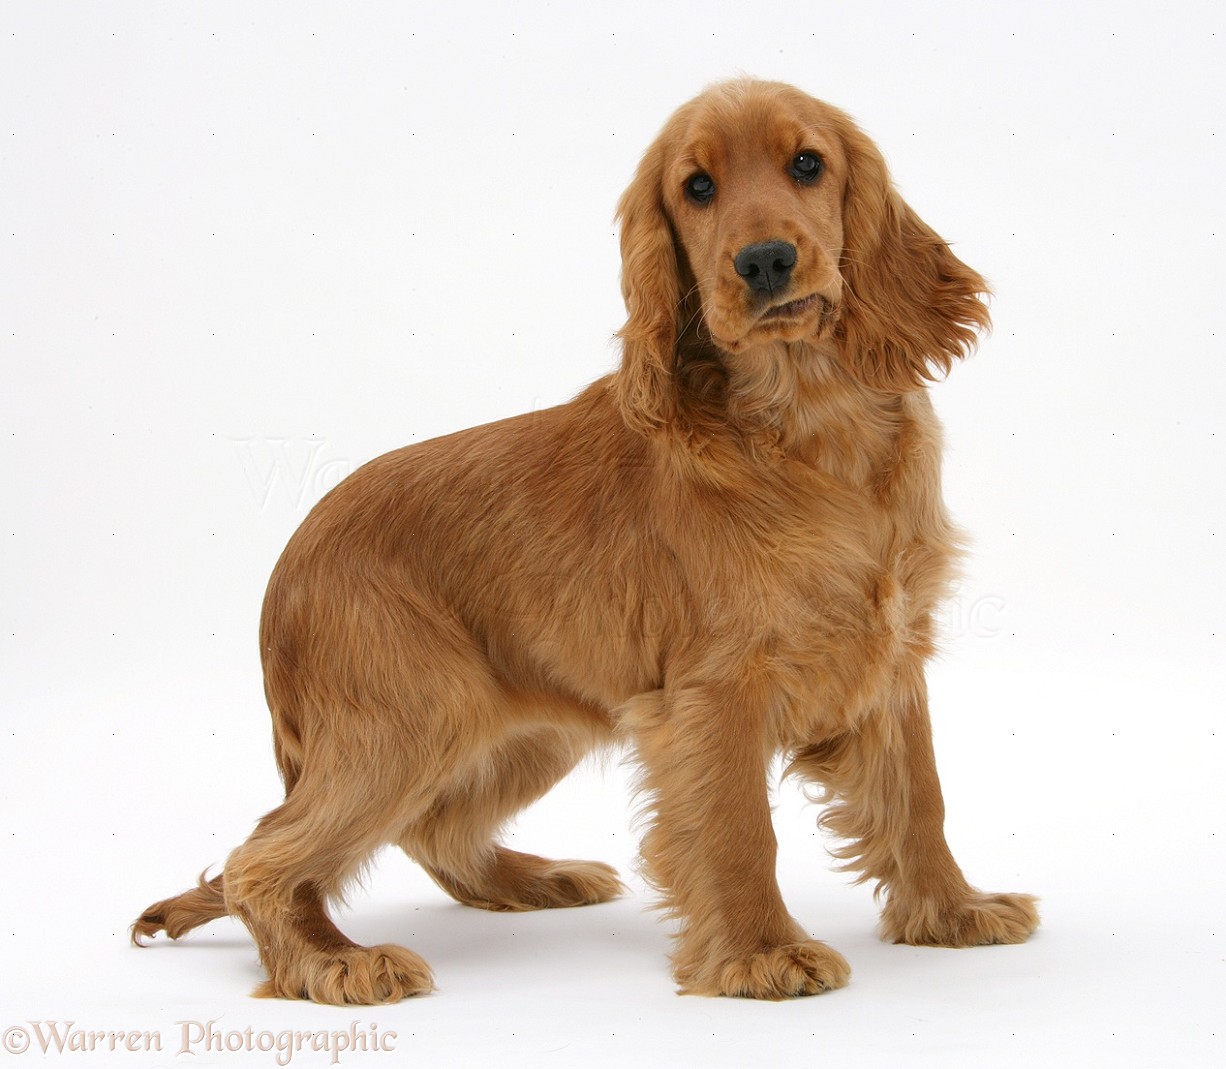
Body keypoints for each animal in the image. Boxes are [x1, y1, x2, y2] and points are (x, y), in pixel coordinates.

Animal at [131, 81, 1034, 1000]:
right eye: (697, 188)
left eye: (808, 163)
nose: (765, 262)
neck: (809, 417)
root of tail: (287, 567)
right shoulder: (714, 688)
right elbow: (741, 826)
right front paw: (760, 952)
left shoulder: (891, 656)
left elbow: (920, 797)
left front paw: (952, 910)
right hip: (408, 719)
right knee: (263, 860)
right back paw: (337, 960)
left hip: (529, 729)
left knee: (431, 829)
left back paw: (535, 879)